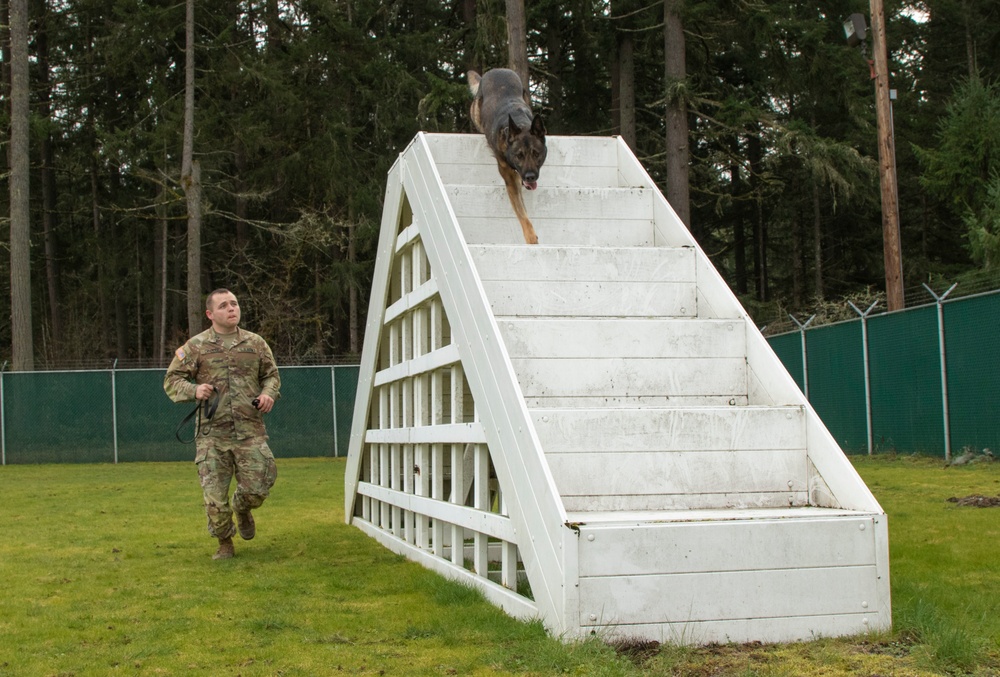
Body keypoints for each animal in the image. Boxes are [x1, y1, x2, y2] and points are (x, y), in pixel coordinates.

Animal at [466, 66, 548, 244]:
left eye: (536, 154)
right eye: (519, 155)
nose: (530, 177)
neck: (520, 122)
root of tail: (497, 70)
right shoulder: (509, 178)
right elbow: (522, 215)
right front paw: (531, 238)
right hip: (476, 114)